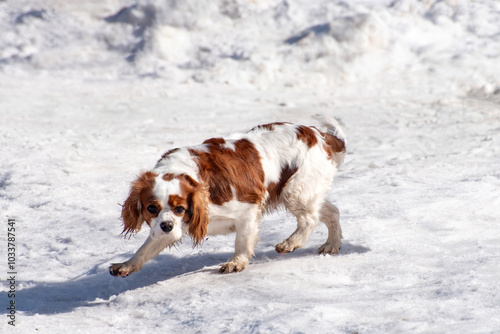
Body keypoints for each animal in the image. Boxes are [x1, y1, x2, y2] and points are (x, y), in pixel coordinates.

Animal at [108, 116, 344, 276]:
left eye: (180, 208)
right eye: (151, 208)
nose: (166, 226)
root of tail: (319, 135)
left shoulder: (248, 208)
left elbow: (242, 241)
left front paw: (236, 262)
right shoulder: (169, 228)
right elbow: (145, 248)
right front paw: (126, 265)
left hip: (295, 192)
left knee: (309, 219)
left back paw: (289, 243)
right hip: (306, 192)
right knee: (331, 211)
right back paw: (331, 245)